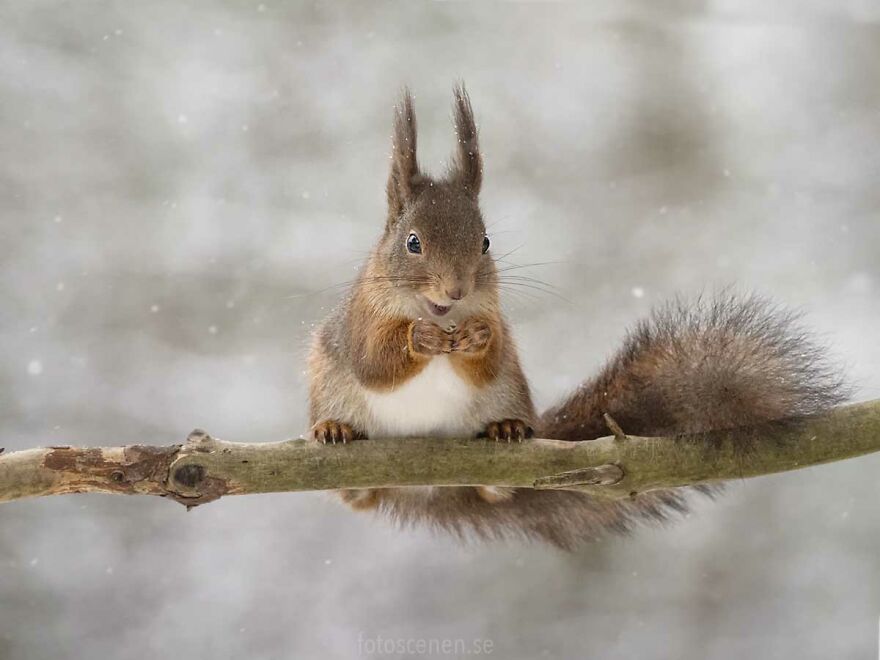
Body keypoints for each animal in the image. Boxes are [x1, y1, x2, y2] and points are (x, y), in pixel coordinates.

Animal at [307, 84, 847, 548]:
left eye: (485, 242)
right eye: (412, 242)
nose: (456, 290)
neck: (442, 316)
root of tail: (422, 484)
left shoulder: (498, 323)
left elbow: (490, 357)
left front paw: (479, 338)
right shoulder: (359, 321)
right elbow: (374, 362)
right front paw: (418, 337)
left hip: (507, 400)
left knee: (496, 488)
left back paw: (504, 432)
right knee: (356, 495)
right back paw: (337, 434)